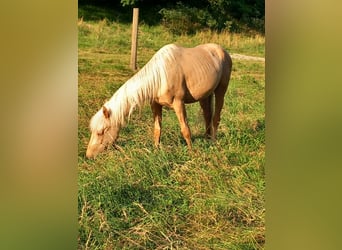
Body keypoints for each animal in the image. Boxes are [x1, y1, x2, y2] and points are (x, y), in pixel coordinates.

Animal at [87, 42, 234, 157]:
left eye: (101, 132)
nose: (89, 155)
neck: (160, 77)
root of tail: (222, 51)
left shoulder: (179, 104)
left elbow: (185, 130)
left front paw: (192, 152)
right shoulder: (156, 105)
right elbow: (157, 129)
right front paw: (156, 151)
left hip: (221, 91)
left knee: (215, 118)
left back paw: (213, 142)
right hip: (204, 96)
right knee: (207, 116)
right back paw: (207, 139)